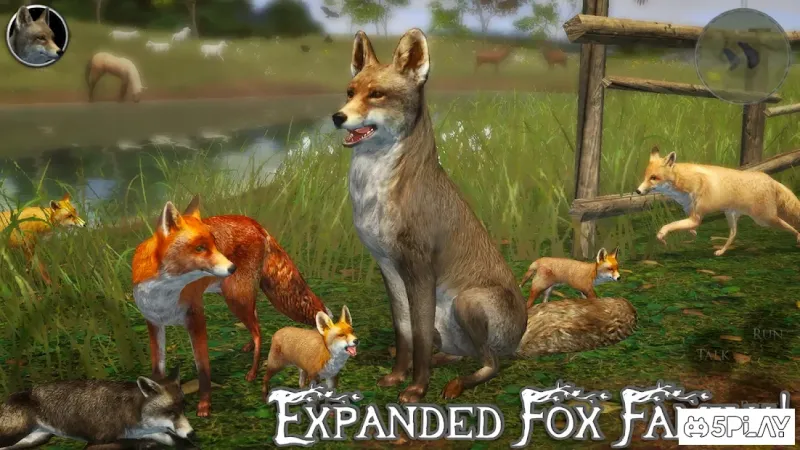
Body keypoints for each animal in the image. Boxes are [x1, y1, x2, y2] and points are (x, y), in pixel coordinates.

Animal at [0, 366, 196, 450]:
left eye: (184, 408)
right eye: (170, 412)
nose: (192, 433)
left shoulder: (143, 433)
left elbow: (168, 438)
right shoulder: (99, 440)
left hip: (34, 439)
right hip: (15, 435)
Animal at [131, 195, 329, 417]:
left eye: (215, 244)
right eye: (200, 248)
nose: (232, 268)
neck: (164, 293)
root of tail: (255, 223)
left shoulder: (195, 318)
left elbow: (203, 369)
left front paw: (204, 405)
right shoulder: (154, 323)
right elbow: (157, 369)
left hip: (235, 298)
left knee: (258, 332)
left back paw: (253, 372)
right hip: (239, 298)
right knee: (255, 322)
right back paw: (250, 346)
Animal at [332, 29, 637, 403]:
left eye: (376, 94)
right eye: (350, 92)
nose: (337, 117)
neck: (376, 192)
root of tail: (519, 336)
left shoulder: (419, 268)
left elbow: (417, 335)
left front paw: (416, 389)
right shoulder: (389, 268)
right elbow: (404, 333)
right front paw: (397, 376)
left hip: (468, 301)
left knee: (491, 364)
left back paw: (458, 383)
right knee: (462, 354)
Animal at [635, 146, 800, 256]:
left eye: (654, 178)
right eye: (646, 176)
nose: (638, 191)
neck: (685, 184)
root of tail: (770, 179)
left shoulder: (696, 217)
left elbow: (668, 226)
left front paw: (662, 237)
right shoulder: (691, 213)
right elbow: (683, 226)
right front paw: (692, 233)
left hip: (765, 219)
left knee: (789, 226)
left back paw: (798, 237)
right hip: (732, 215)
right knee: (733, 234)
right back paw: (721, 251)